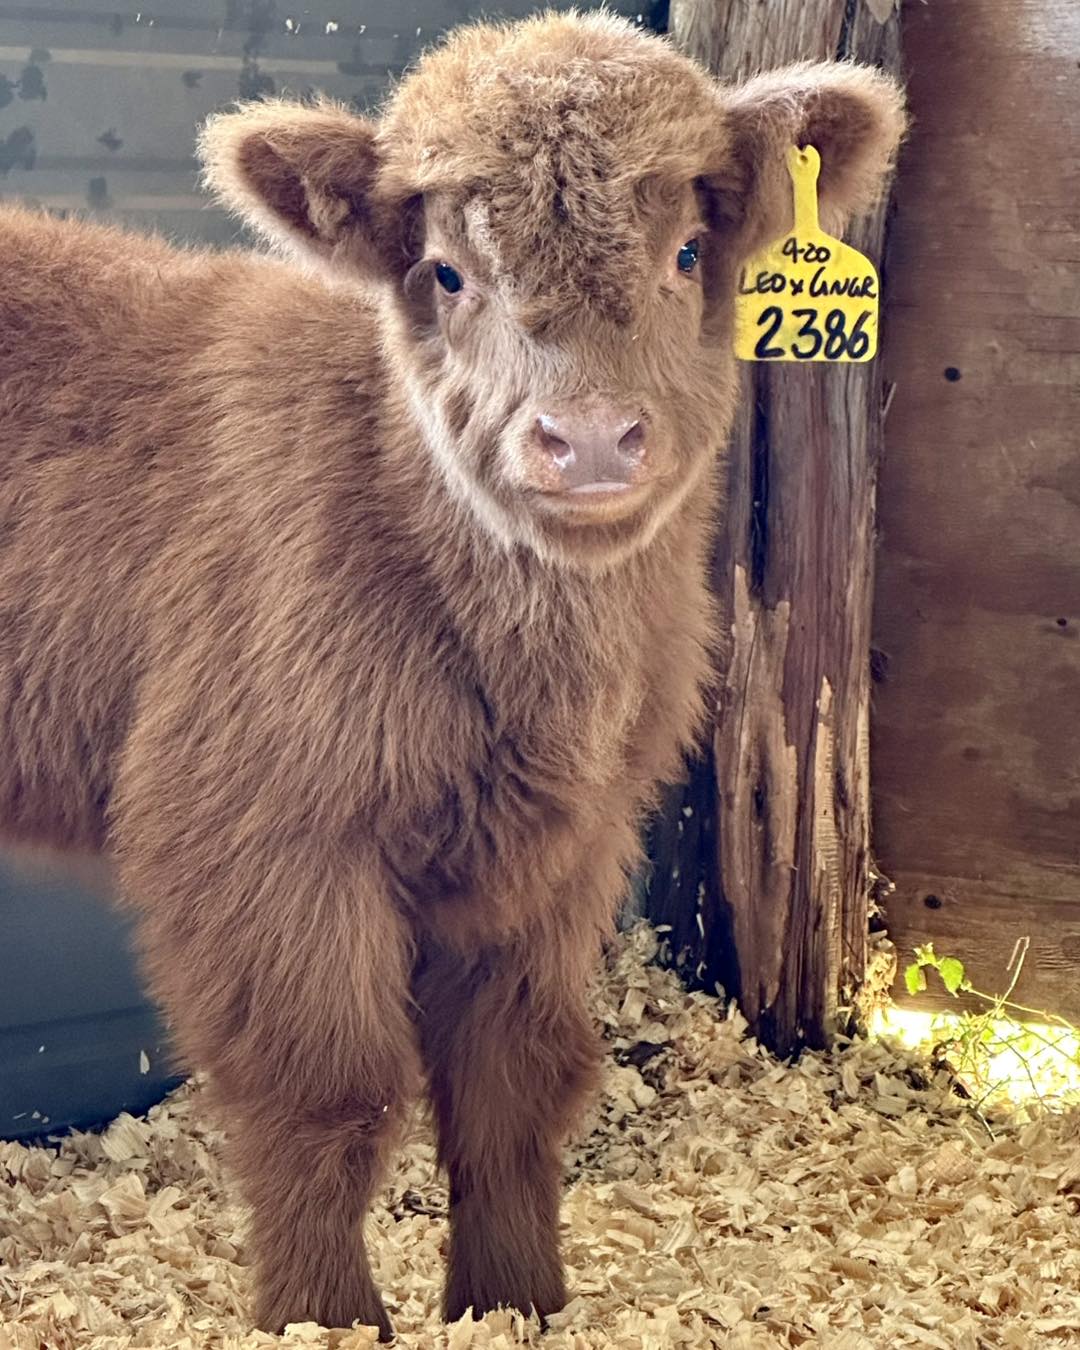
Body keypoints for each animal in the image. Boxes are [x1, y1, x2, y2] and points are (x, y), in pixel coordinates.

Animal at [0, 10, 905, 1337]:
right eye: (446, 273)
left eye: (689, 251)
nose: (589, 440)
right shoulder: (264, 838)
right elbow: (328, 1095)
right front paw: (322, 1320)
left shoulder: (561, 855)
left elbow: (517, 1084)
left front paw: (519, 1304)